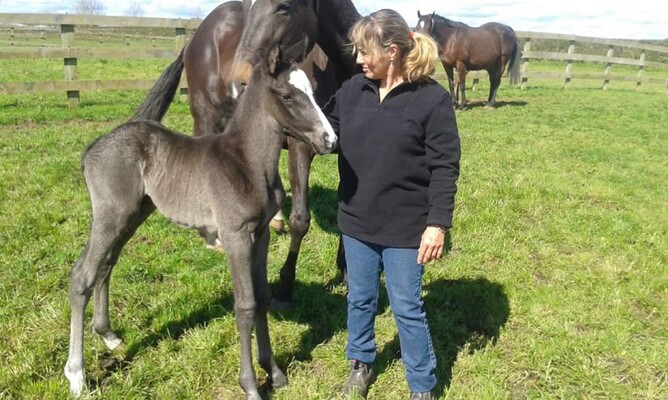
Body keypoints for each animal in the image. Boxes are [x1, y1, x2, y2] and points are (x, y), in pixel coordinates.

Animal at [63, 44, 337, 399]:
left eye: (313, 93)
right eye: (288, 96)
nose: (329, 139)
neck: (246, 162)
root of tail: (94, 147)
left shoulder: (261, 233)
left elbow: (262, 298)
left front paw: (275, 372)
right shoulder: (235, 236)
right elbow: (246, 305)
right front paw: (251, 385)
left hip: (132, 214)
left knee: (106, 264)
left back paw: (108, 334)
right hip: (111, 215)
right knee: (82, 274)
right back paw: (76, 374)